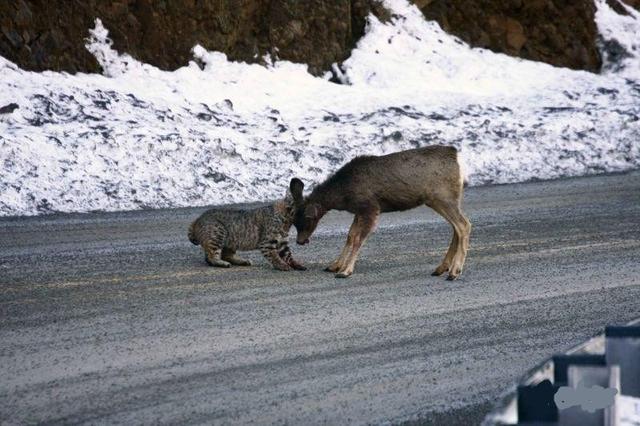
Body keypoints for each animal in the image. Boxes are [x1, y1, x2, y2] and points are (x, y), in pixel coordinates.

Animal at [290, 146, 470, 280]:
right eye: (293, 220)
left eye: (307, 219)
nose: (300, 241)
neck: (343, 193)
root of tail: (457, 157)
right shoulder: (359, 210)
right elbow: (350, 236)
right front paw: (335, 266)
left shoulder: (370, 207)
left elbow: (358, 239)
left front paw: (346, 271)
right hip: (443, 199)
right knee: (456, 227)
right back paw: (441, 268)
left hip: (442, 196)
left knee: (464, 225)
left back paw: (454, 272)